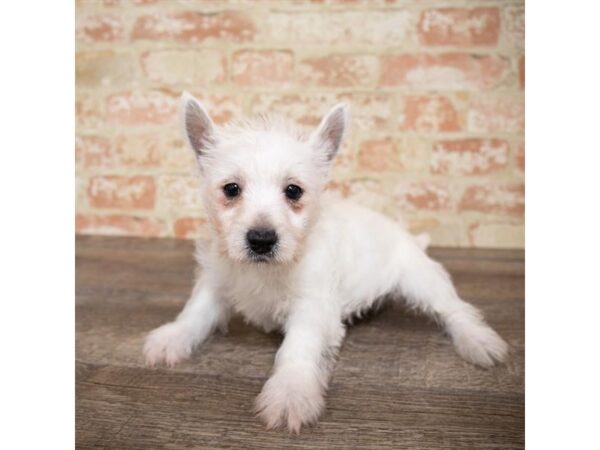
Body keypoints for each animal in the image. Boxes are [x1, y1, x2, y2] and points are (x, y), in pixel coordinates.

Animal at [144, 94, 506, 432]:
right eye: (231, 189)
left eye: (293, 191)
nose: (261, 240)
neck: (266, 270)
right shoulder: (216, 279)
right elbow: (195, 311)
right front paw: (171, 338)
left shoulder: (312, 305)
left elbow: (297, 348)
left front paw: (290, 391)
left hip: (423, 280)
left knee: (455, 310)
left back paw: (479, 341)